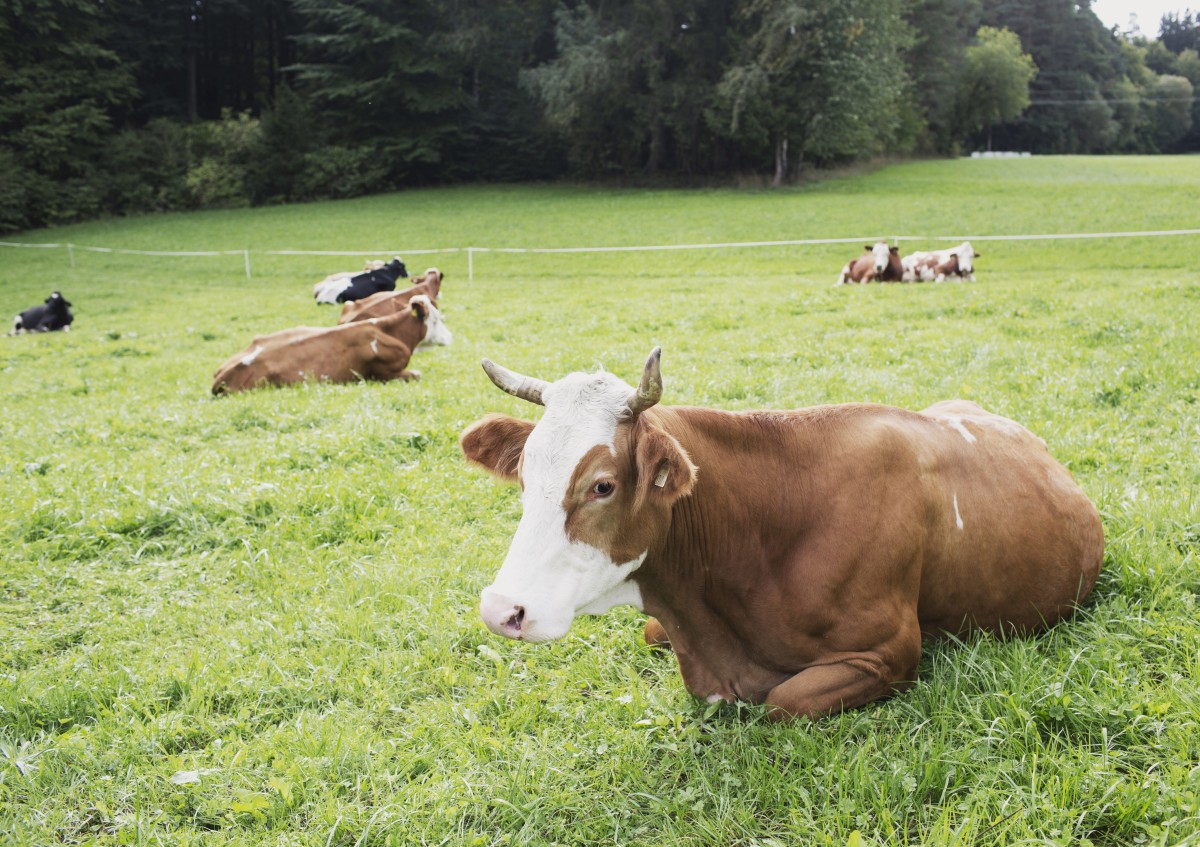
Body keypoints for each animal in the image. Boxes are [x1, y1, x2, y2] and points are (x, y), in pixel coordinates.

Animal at [211, 291, 451, 393]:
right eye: (438, 319)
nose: (450, 336)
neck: (388, 331)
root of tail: (222, 375)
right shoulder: (385, 374)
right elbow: (416, 374)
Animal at [458, 347, 1104, 719]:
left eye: (602, 485)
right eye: (524, 474)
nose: (501, 609)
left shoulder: (890, 652)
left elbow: (780, 702)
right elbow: (650, 633)